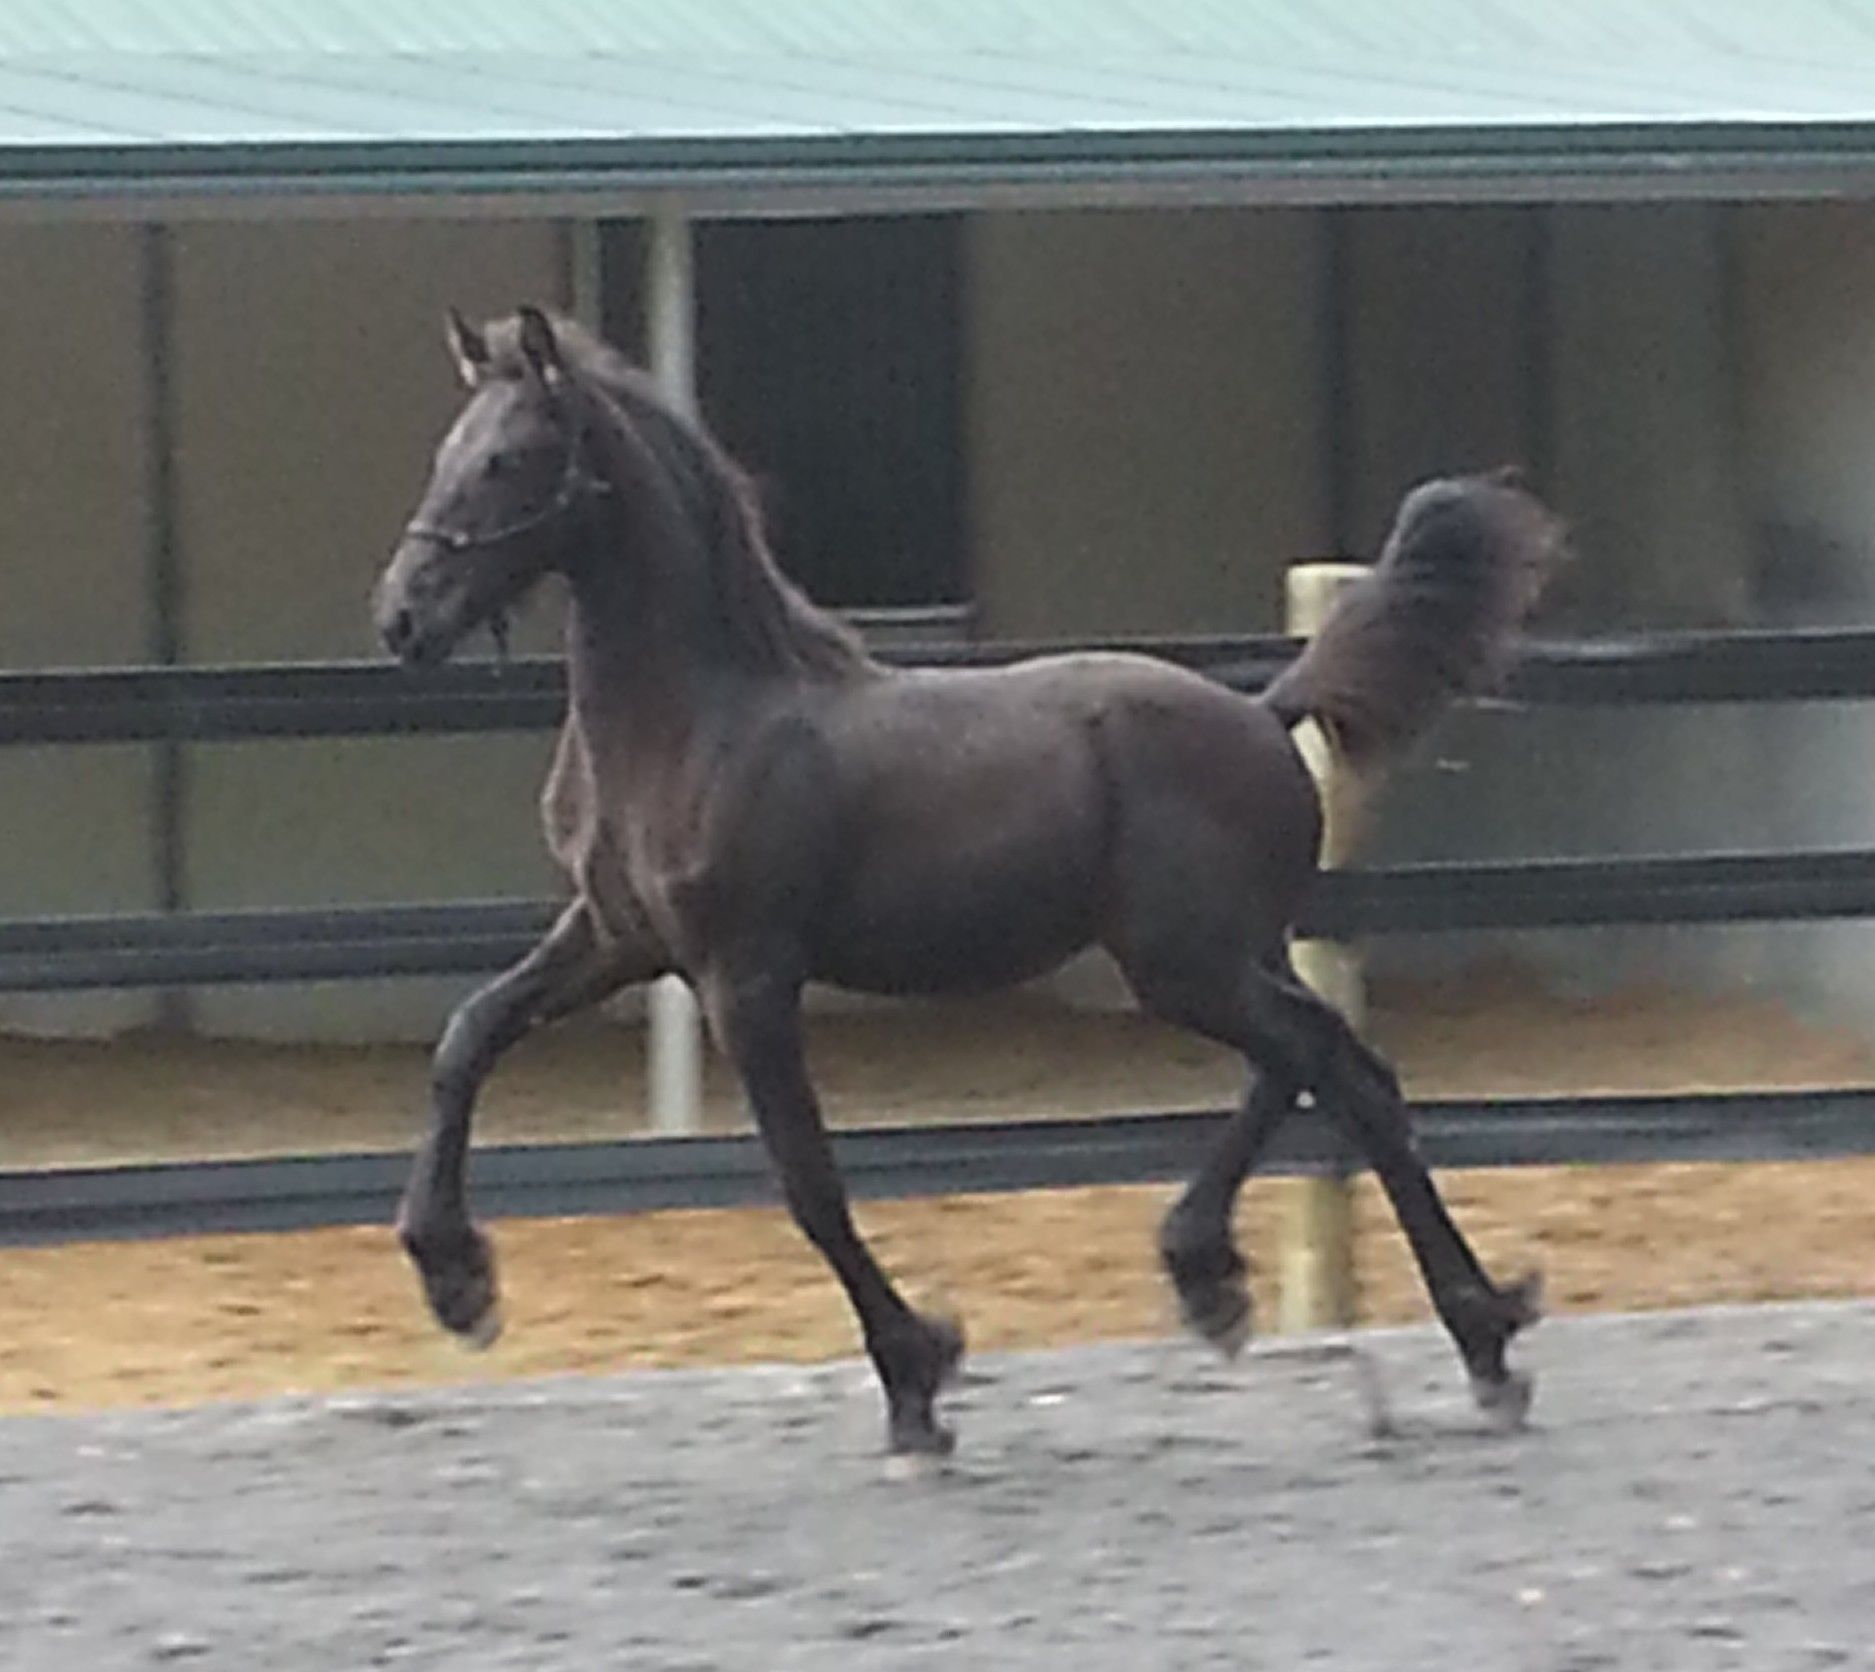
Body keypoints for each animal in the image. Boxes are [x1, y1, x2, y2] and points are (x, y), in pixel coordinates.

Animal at [373, 305, 1560, 1457]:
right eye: (445, 454)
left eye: (510, 459)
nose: (401, 618)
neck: (701, 716)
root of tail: (1268, 711)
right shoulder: (617, 937)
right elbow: (468, 1036)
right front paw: (455, 1281)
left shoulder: (742, 973)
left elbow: (808, 1182)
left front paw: (916, 1377)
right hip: (1221, 955)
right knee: (1322, 1063)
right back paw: (1259, 1284)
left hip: (1187, 962)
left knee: (1335, 1067)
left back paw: (1471, 1337)